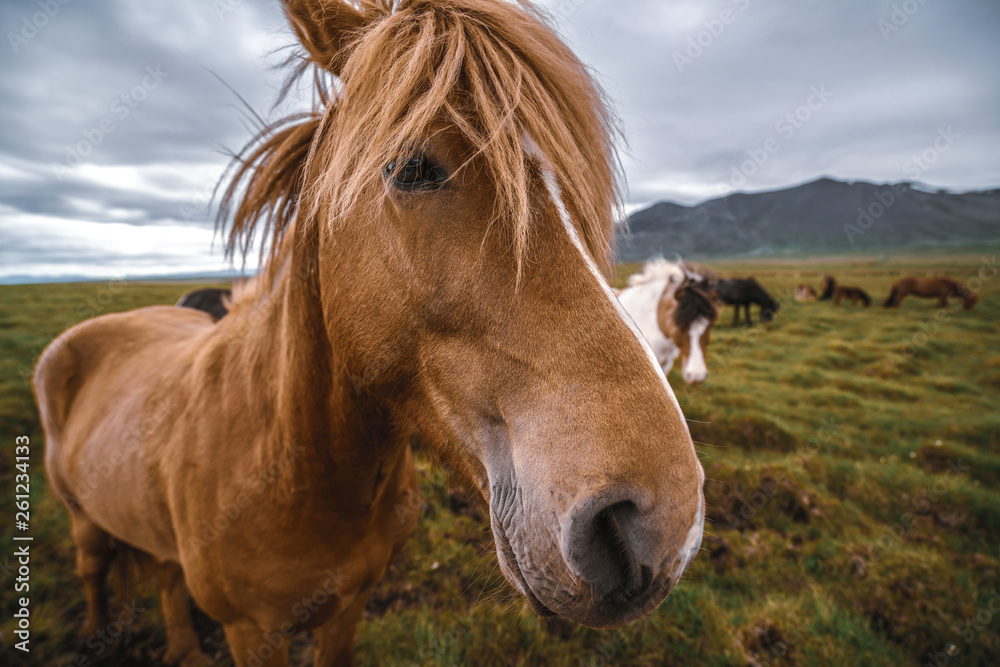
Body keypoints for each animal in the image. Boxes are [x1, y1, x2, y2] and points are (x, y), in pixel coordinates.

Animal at [31, 1, 704, 667]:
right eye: (411, 168)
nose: (657, 522)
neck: (298, 464)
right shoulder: (251, 631)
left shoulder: (350, 604)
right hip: (81, 516)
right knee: (92, 568)